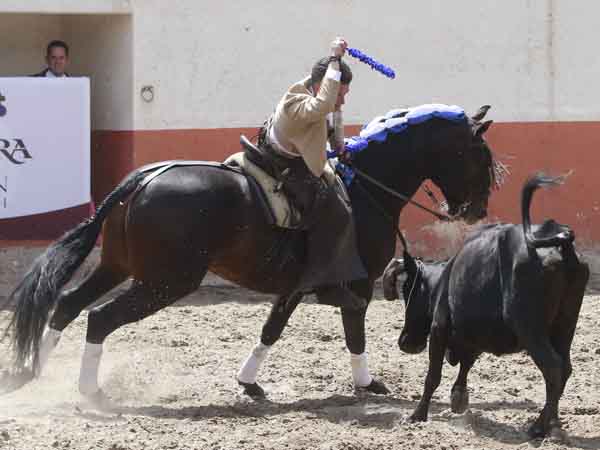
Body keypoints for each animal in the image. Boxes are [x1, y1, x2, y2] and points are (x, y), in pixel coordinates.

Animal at [384, 174, 592, 438]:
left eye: (406, 289)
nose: (404, 342)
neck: (445, 278)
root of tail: (560, 240)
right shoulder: (473, 334)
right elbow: (466, 363)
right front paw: (458, 397)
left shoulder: (439, 327)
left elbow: (433, 375)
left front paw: (418, 414)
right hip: (565, 324)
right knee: (564, 368)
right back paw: (550, 422)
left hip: (530, 328)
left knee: (553, 368)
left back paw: (542, 426)